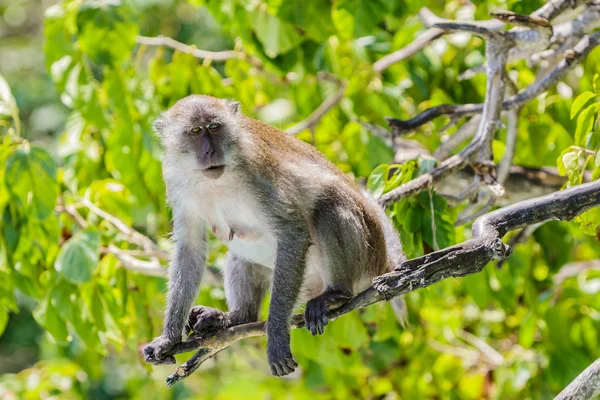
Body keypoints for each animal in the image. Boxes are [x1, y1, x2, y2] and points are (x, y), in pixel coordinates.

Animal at [143, 95, 406, 376]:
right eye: (195, 131)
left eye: (214, 127)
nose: (209, 152)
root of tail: (382, 260)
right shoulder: (175, 180)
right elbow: (190, 248)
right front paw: (168, 338)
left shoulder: (256, 172)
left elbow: (292, 231)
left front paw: (277, 335)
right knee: (240, 255)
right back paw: (237, 317)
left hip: (363, 255)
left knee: (330, 203)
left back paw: (336, 294)